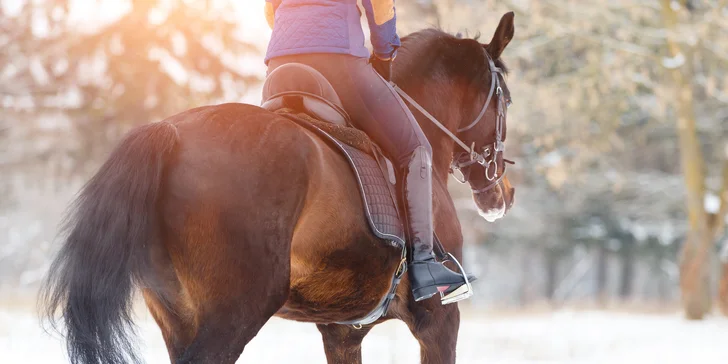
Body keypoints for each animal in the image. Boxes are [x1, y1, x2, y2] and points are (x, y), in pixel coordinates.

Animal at [38, 11, 516, 364]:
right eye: (506, 101)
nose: (504, 193)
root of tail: (170, 132)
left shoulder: (342, 332)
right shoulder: (440, 320)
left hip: (178, 316)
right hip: (235, 312)